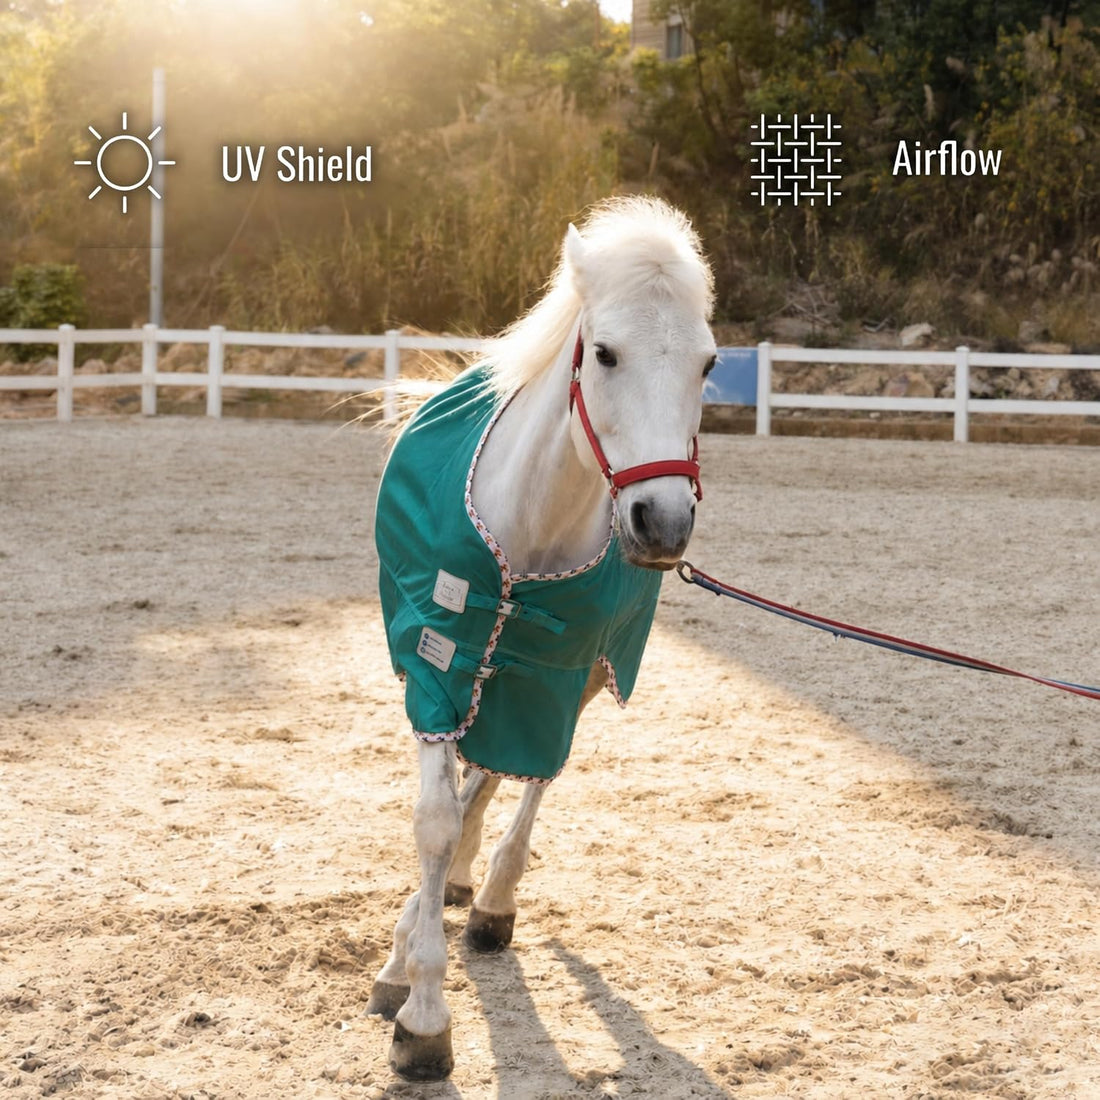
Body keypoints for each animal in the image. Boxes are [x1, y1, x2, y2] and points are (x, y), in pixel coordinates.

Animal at [368, 195, 717, 1081]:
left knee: (511, 777)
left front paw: (426, 970)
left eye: (707, 364)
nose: (663, 522)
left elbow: (513, 782)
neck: (535, 521)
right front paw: (418, 1001)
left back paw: (482, 898)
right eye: (606, 352)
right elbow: (435, 816)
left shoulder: (560, 674)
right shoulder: (442, 665)